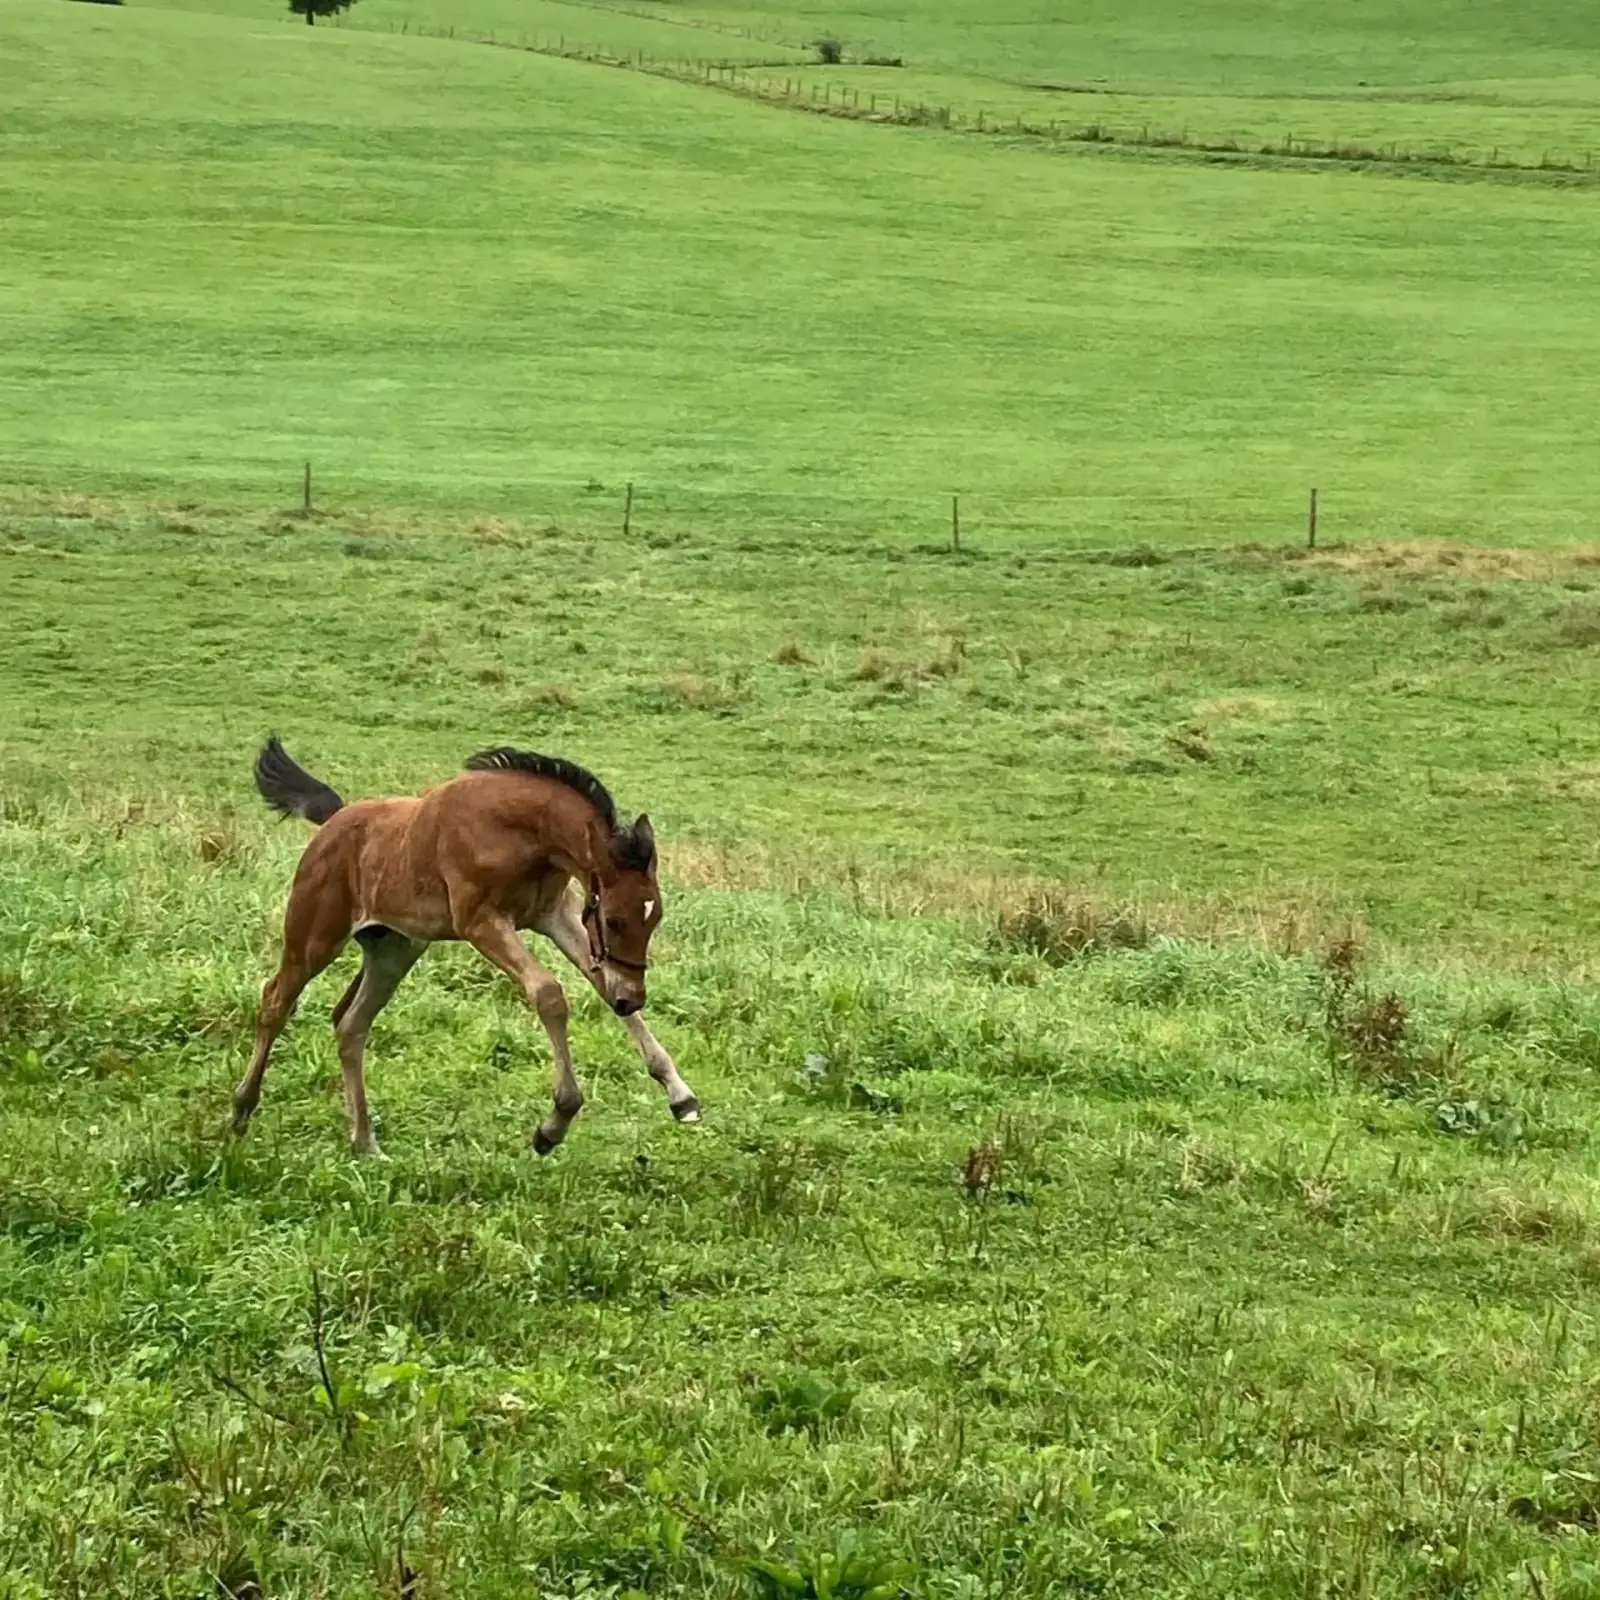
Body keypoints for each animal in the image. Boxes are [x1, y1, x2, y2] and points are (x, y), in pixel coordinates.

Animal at [230, 738, 700, 1157]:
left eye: (655, 917)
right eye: (615, 920)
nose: (632, 998)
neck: (518, 832)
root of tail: (334, 819)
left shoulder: (556, 914)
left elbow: (600, 985)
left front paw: (681, 1097)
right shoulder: (480, 921)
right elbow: (548, 993)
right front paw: (554, 1124)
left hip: (394, 949)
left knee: (351, 1024)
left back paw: (365, 1144)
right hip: (315, 936)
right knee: (275, 1001)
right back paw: (240, 1112)